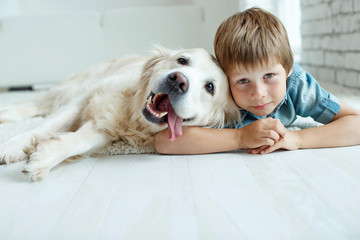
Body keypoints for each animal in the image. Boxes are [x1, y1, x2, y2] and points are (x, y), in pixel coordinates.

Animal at [0, 46, 242, 181]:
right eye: (182, 60)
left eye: (210, 87)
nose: (178, 81)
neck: (133, 114)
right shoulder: (82, 101)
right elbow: (41, 128)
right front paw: (10, 147)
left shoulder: (104, 128)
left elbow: (79, 141)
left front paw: (44, 157)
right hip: (72, 87)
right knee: (34, 104)